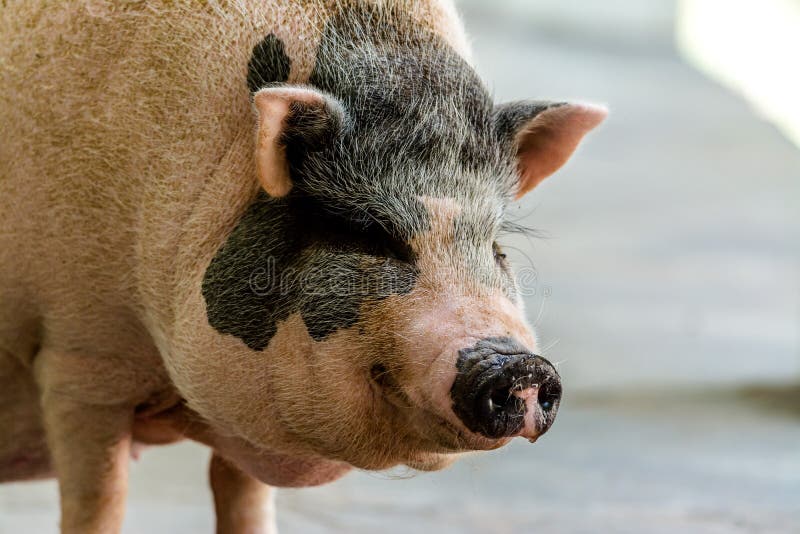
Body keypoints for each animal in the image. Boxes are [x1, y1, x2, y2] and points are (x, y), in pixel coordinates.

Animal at [0, 0, 606, 532]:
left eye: (496, 246)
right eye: (367, 234)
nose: (520, 365)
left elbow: (242, 502)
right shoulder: (78, 358)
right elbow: (99, 504)